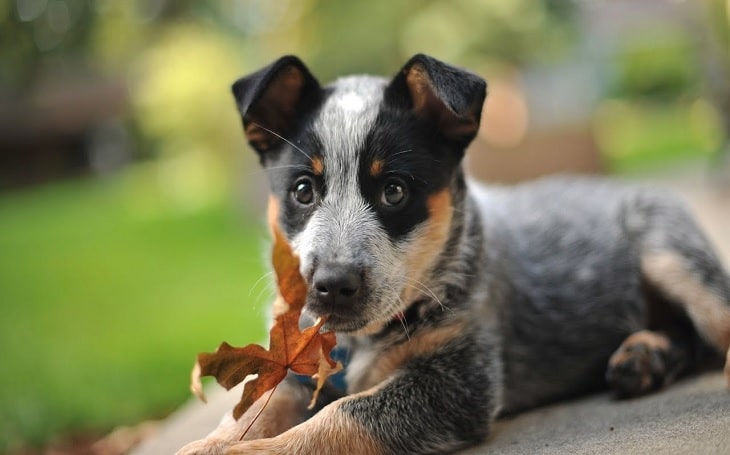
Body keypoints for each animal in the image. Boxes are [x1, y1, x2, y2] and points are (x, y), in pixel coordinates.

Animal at [178, 54, 728, 455]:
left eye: (394, 191)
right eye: (302, 190)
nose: (331, 285)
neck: (358, 343)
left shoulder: (458, 384)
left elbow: (342, 416)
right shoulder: (294, 371)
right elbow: (247, 414)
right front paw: (206, 445)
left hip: (670, 251)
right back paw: (644, 357)